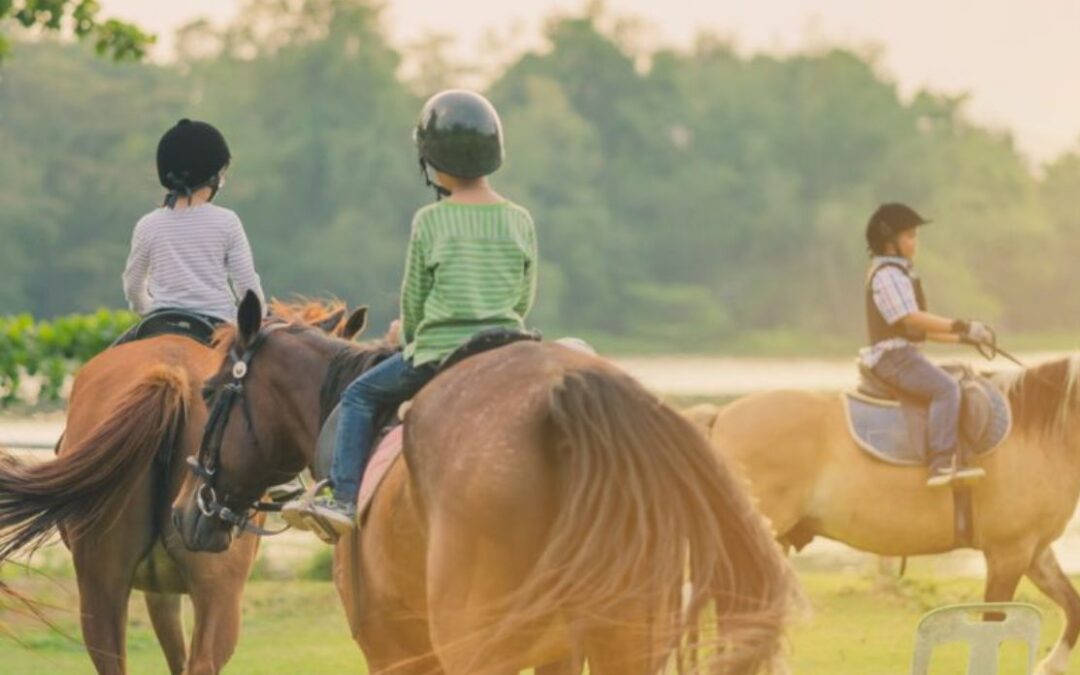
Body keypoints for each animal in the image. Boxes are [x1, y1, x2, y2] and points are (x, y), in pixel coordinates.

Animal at [170, 293, 794, 673]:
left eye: (210, 392)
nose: (183, 512)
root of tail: (568, 395)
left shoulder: (393, 651)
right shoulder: (559, 653)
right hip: (629, 638)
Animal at [686, 356, 1080, 669]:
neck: (1039, 433)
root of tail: (722, 416)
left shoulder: (1034, 552)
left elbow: (1072, 605)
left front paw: (1052, 666)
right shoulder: (1007, 553)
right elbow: (993, 625)